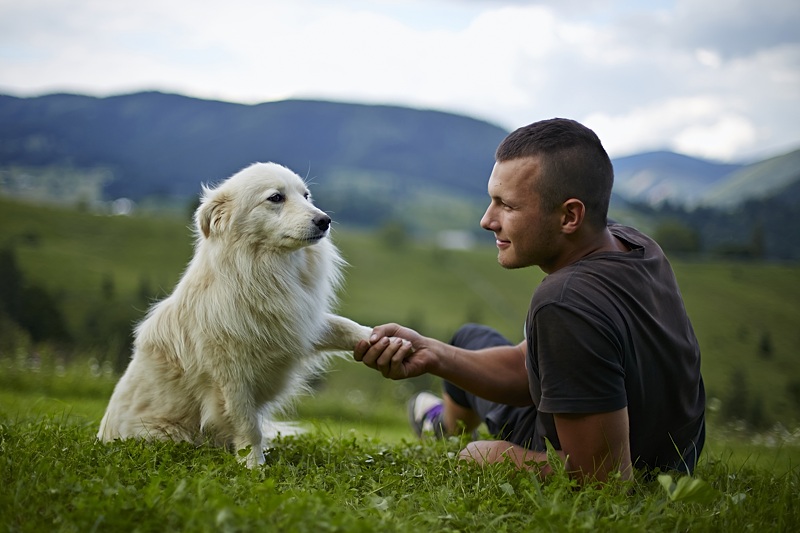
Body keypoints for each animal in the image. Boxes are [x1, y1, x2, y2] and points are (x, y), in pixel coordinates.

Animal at [98, 161, 374, 466]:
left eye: (306, 196)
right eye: (276, 197)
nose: (325, 220)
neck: (261, 271)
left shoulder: (299, 325)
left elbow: (346, 326)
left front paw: (384, 340)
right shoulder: (232, 379)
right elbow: (248, 426)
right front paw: (254, 465)